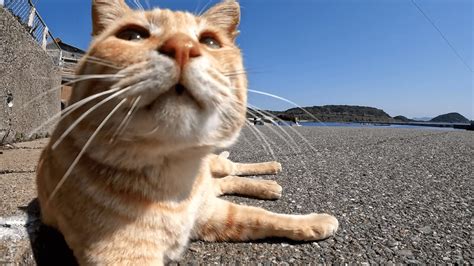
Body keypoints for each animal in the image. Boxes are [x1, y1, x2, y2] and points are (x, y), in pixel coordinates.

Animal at [37, 0, 338, 264]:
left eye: (210, 41)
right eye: (132, 35)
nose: (182, 46)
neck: (173, 175)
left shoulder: (213, 212)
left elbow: (261, 215)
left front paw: (315, 221)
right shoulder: (121, 253)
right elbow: (253, 213)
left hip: (215, 172)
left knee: (230, 170)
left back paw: (270, 173)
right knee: (225, 181)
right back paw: (269, 186)